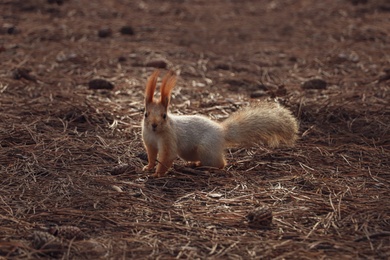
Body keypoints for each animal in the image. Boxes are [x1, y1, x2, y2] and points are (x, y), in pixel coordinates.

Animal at [142, 70, 298, 178]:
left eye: (164, 115)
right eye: (145, 114)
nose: (154, 125)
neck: (155, 134)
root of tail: (221, 131)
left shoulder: (169, 141)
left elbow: (166, 157)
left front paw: (157, 174)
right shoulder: (149, 142)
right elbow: (151, 155)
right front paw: (148, 167)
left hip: (206, 148)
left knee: (220, 164)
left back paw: (207, 168)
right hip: (190, 152)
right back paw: (196, 164)